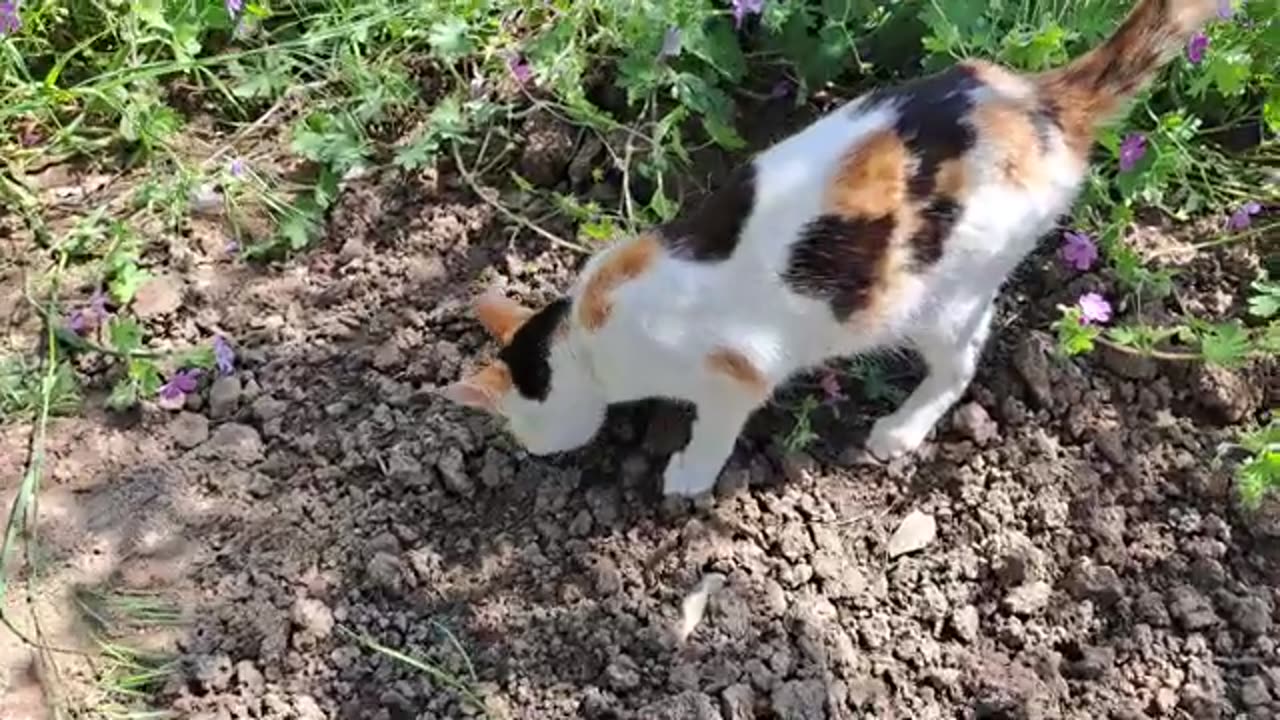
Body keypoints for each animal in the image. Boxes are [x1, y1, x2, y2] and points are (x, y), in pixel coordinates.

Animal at [445, 0, 1223, 491]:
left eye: (519, 424)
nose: (531, 452)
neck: (587, 334)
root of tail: (1041, 103)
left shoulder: (733, 377)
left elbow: (715, 428)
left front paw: (687, 475)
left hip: (944, 293)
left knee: (962, 361)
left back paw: (901, 430)